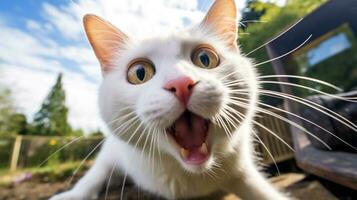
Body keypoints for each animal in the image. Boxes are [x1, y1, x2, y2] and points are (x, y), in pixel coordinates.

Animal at [50, 0, 290, 199]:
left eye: (205, 58)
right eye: (139, 73)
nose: (181, 83)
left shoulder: (241, 171)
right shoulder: (113, 150)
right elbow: (94, 174)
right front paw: (70, 195)